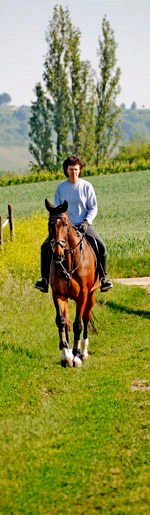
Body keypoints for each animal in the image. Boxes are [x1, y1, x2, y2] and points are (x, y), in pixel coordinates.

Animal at [45, 200, 100, 368]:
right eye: (49, 224)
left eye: (64, 224)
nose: (58, 254)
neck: (69, 262)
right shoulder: (58, 294)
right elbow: (62, 321)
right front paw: (66, 355)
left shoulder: (82, 295)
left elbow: (78, 324)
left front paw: (76, 356)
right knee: (68, 321)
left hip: (91, 296)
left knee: (86, 318)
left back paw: (83, 351)